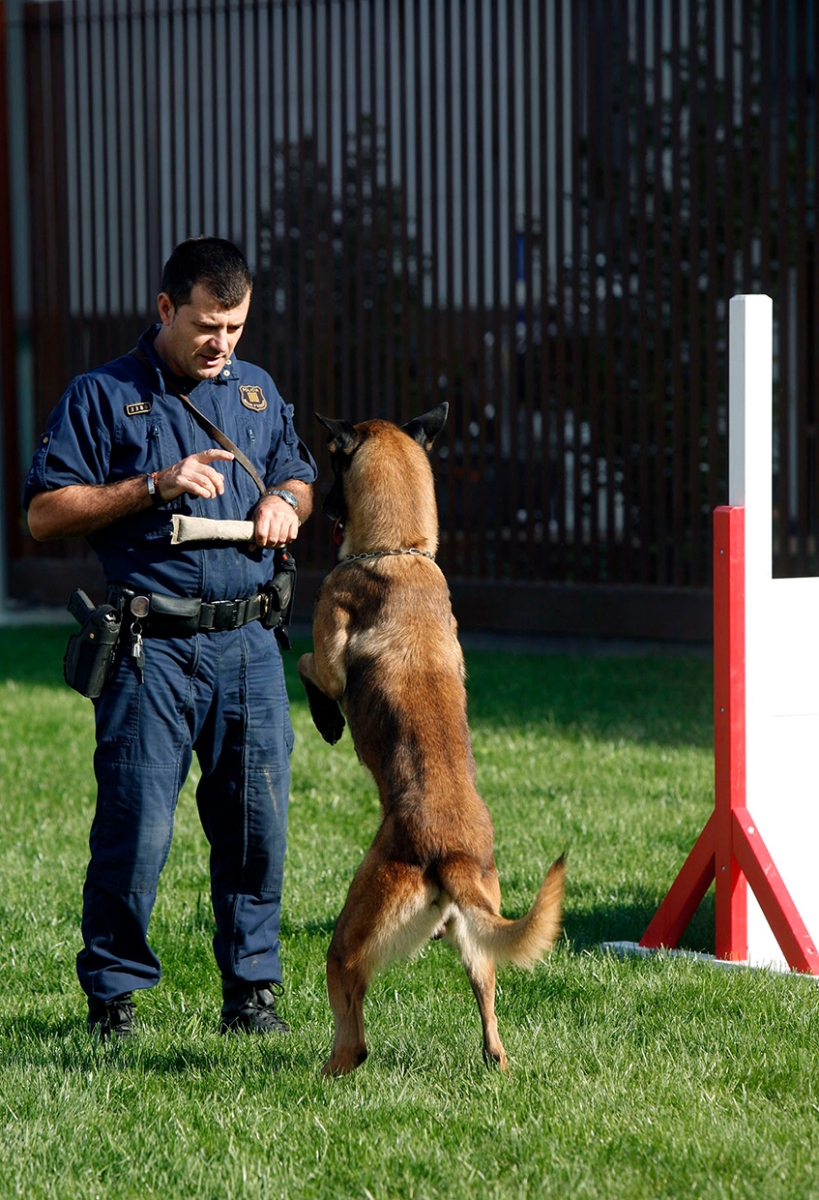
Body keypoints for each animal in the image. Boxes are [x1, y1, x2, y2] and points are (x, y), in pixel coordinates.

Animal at [296, 403, 564, 1080]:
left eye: (331, 466)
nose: (315, 501)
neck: (402, 552)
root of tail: (453, 857)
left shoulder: (330, 646)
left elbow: (311, 663)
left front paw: (327, 719)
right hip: (478, 944)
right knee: (491, 1017)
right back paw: (496, 1061)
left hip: (349, 937)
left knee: (353, 1029)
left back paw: (329, 1070)